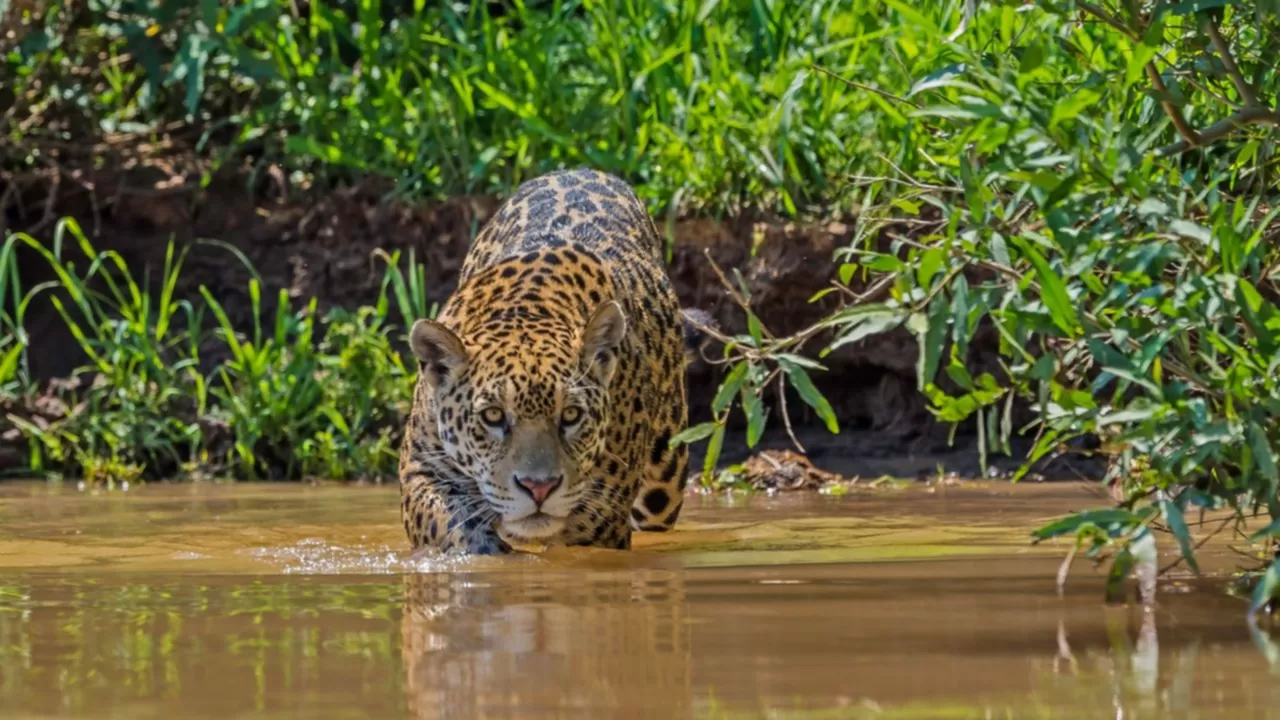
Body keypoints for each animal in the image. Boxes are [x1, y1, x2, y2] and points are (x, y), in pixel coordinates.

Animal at [399, 167, 705, 555]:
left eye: (571, 415)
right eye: (493, 416)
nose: (538, 487)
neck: (525, 310)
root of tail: (581, 169)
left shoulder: (600, 519)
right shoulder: (421, 468)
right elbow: (449, 521)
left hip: (664, 481)